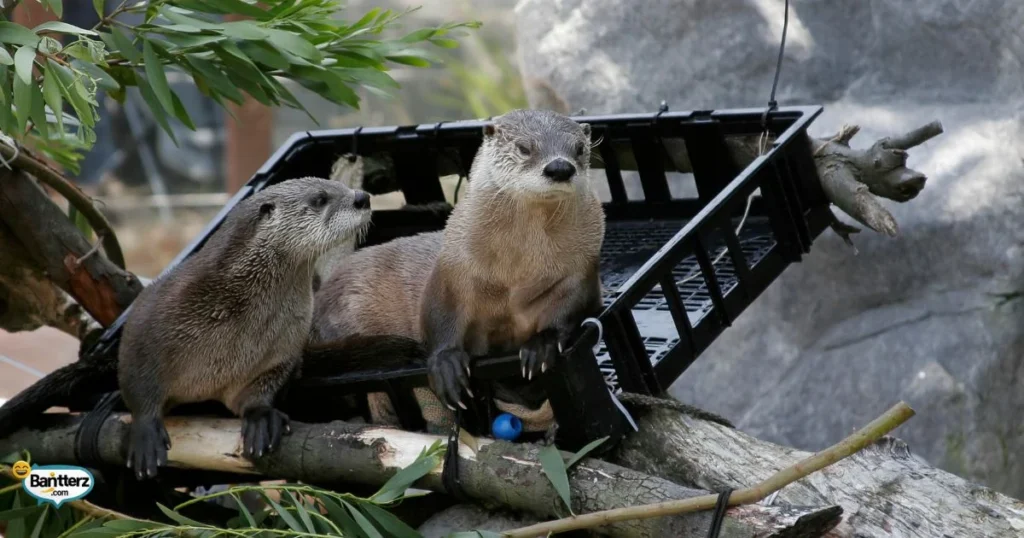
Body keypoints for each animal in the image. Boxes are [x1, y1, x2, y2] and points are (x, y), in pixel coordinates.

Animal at [116, 177, 372, 479]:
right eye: (320, 199)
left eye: (340, 184)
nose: (362, 197)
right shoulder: (152, 320)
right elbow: (138, 376)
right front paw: (145, 434)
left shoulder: (282, 348)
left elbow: (256, 390)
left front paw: (261, 417)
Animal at [312, 109, 604, 419]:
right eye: (524, 148)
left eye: (580, 149)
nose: (560, 167)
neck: (516, 273)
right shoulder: (454, 268)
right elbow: (440, 315)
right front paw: (446, 364)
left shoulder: (580, 272)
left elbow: (571, 309)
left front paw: (542, 345)